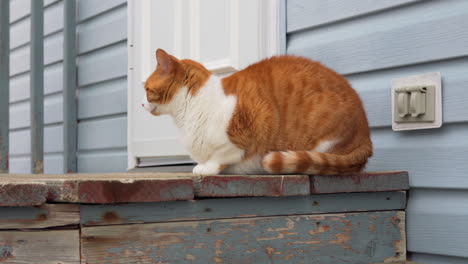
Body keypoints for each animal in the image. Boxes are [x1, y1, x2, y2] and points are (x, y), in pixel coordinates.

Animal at [143, 48, 372, 176]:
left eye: (146, 89)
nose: (141, 104)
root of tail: (367, 136)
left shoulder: (247, 130)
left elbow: (220, 157)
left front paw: (206, 168)